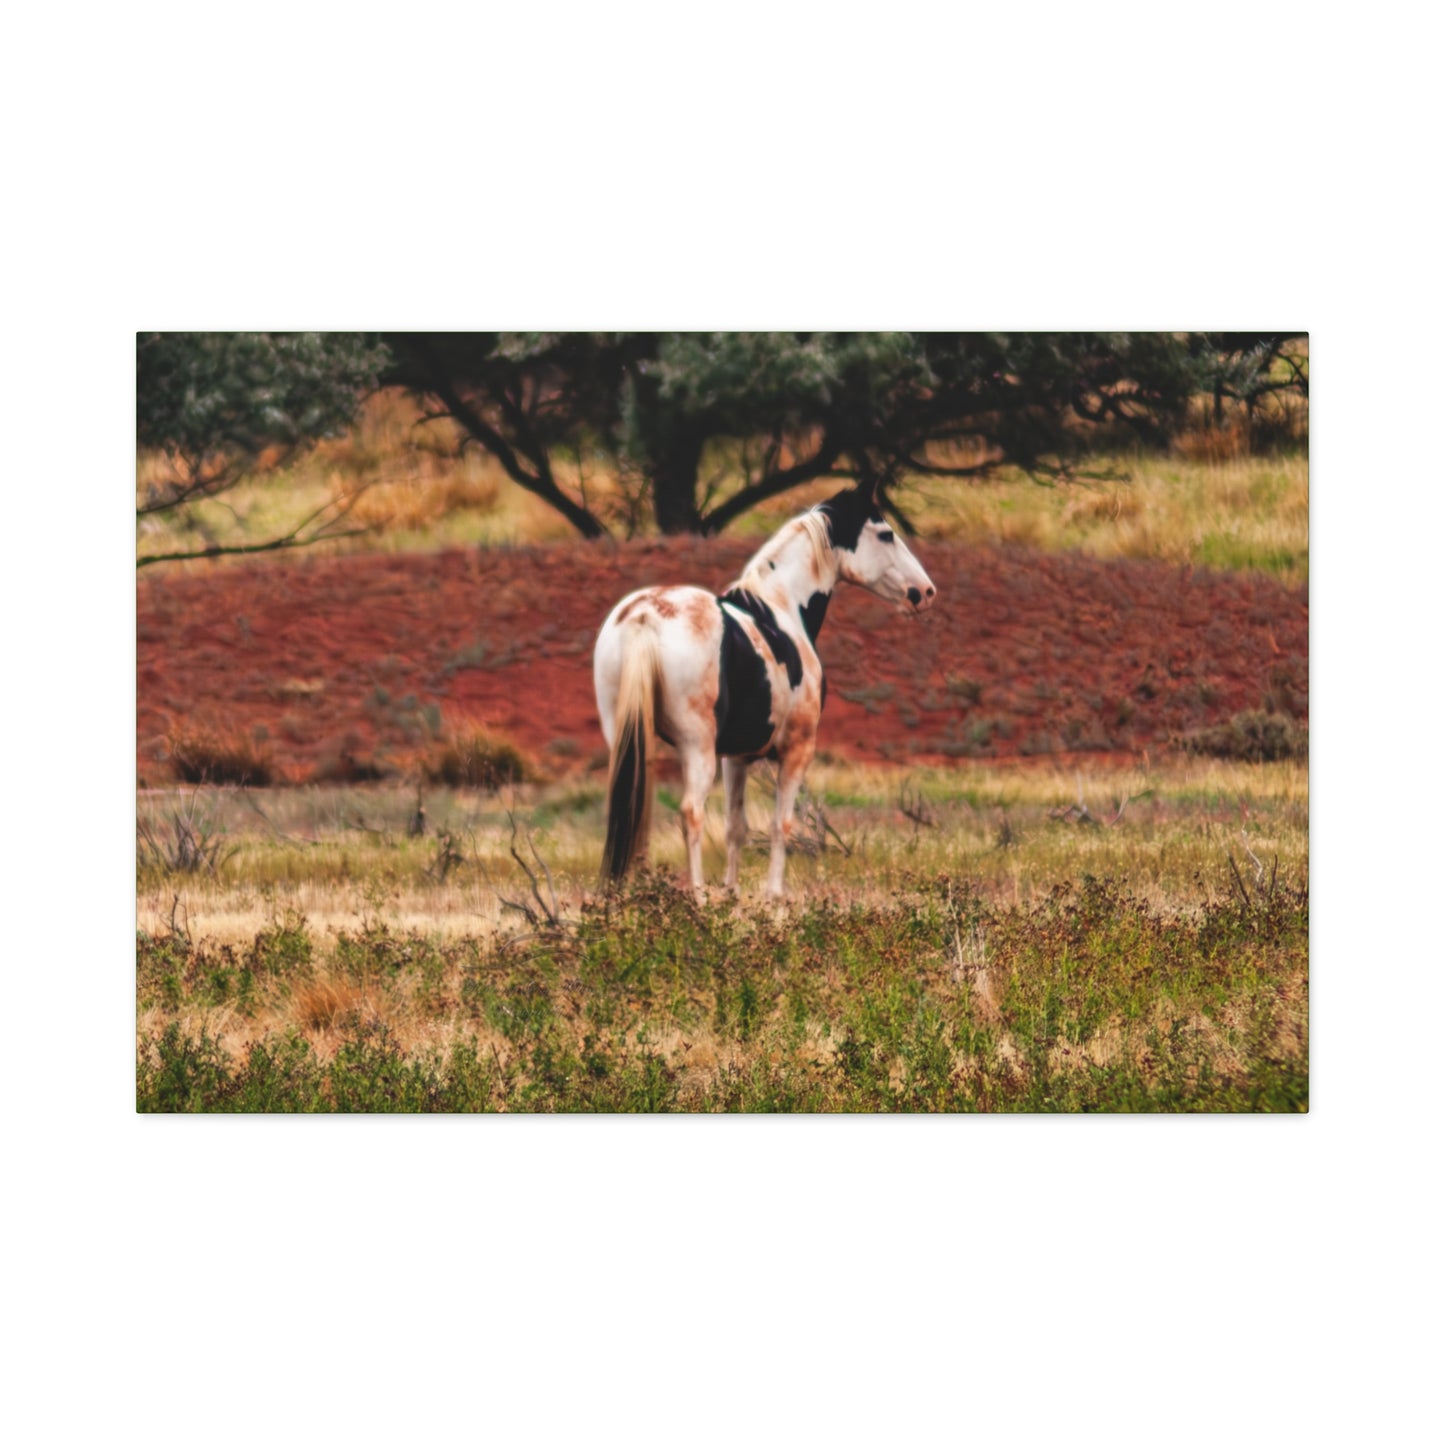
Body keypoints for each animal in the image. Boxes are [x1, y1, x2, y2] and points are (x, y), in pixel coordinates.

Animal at [592, 481, 937, 899]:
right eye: (885, 534)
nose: (925, 592)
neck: (780, 608)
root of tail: (645, 615)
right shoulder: (796, 751)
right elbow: (780, 824)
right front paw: (773, 895)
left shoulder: (735, 757)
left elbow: (735, 827)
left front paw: (732, 893)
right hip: (695, 746)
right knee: (691, 812)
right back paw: (698, 896)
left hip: (628, 736)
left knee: (632, 806)